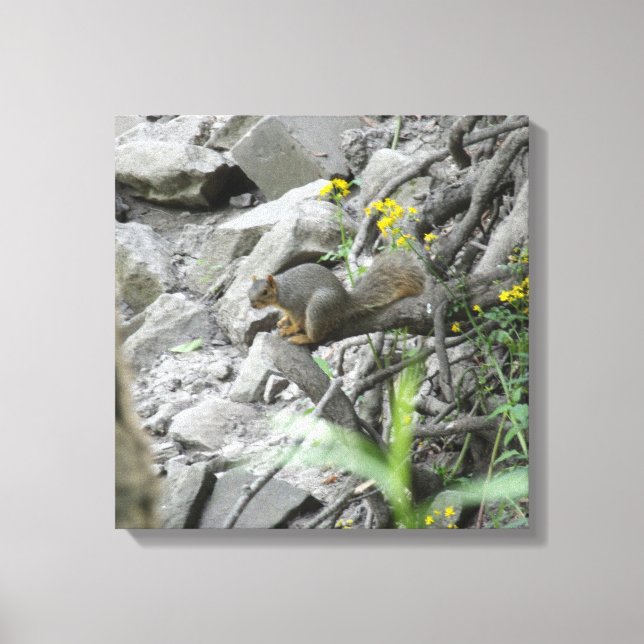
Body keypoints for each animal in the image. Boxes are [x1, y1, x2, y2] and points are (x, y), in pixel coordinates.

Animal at [248, 252, 426, 345]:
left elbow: (298, 321)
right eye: (249, 290)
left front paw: (289, 329)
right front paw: (282, 321)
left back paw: (301, 338)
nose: (252, 305)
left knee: (316, 337)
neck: (281, 291)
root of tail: (344, 303)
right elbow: (288, 317)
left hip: (317, 308)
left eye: (265, 292)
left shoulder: (296, 303)